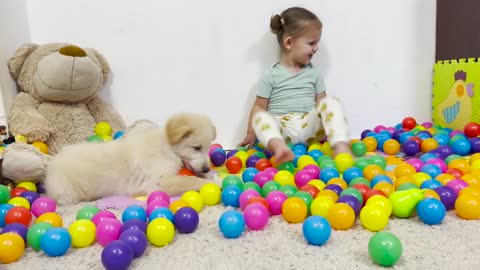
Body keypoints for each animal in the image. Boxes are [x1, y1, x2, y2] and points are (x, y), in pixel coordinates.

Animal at [44, 112, 218, 205]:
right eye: (196, 147)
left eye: (208, 147)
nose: (206, 168)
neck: (167, 147)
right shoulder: (157, 182)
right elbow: (190, 180)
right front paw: (212, 182)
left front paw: (210, 175)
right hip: (68, 193)